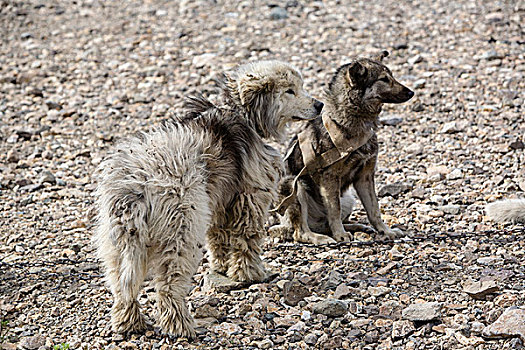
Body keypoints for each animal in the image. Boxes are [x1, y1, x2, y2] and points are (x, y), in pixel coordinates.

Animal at [94, 60, 324, 340]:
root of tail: (136, 184)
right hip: (180, 230)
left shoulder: (219, 199)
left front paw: (221, 267)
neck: (242, 113)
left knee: (121, 285)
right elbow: (247, 239)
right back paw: (180, 325)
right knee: (168, 285)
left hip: (119, 240)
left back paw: (128, 322)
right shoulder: (250, 196)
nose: (319, 105)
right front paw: (249, 273)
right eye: (290, 91)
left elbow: (218, 237)